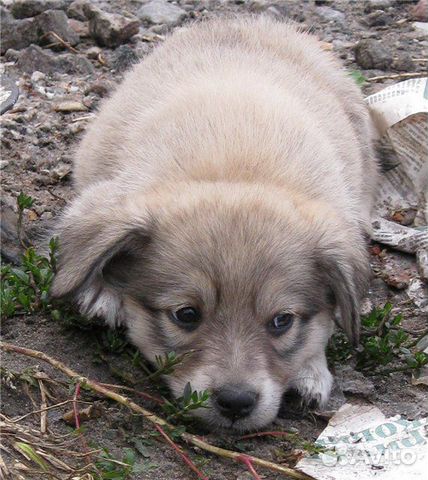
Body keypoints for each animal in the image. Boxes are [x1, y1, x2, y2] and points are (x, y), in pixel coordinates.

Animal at [50, 16, 378, 434]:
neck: (238, 171)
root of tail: (244, 20)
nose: (236, 403)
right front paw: (100, 288)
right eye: (186, 315)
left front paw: (310, 369)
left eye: (281, 321)